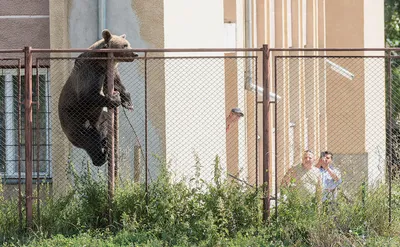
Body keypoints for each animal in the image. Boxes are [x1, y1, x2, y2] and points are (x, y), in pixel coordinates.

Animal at [57, 29, 138, 167]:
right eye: (125, 45)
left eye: (128, 44)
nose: (135, 53)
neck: (104, 62)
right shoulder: (90, 71)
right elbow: (87, 94)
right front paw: (114, 99)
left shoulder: (109, 73)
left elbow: (118, 85)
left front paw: (128, 103)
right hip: (76, 121)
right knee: (89, 140)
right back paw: (102, 156)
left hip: (100, 119)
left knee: (102, 129)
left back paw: (107, 145)